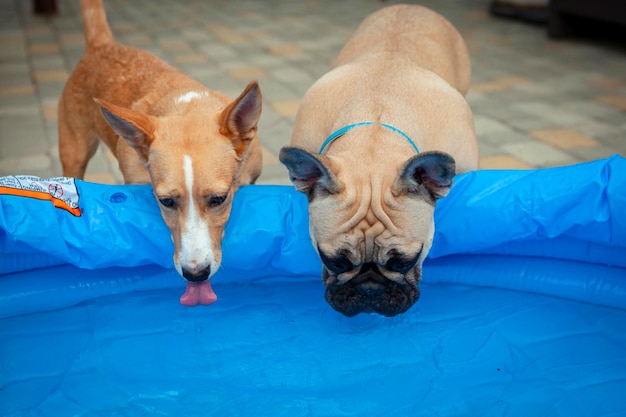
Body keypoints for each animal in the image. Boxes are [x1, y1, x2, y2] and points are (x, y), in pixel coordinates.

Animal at [58, 0, 260, 306]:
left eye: (219, 199)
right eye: (165, 202)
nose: (196, 274)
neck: (186, 106)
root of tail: (102, 45)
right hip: (73, 153)